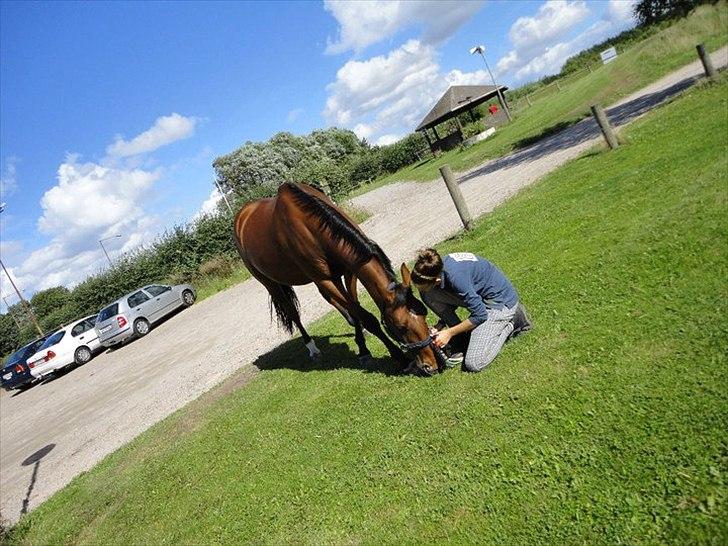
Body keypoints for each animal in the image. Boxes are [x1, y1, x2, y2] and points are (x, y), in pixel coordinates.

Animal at [233, 182, 440, 374]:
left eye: (424, 313)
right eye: (401, 326)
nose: (431, 365)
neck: (309, 224)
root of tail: (242, 216)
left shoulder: (350, 270)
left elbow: (355, 308)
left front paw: (363, 348)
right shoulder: (325, 279)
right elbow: (366, 317)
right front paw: (399, 358)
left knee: (331, 299)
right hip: (271, 284)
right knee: (293, 313)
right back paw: (312, 348)